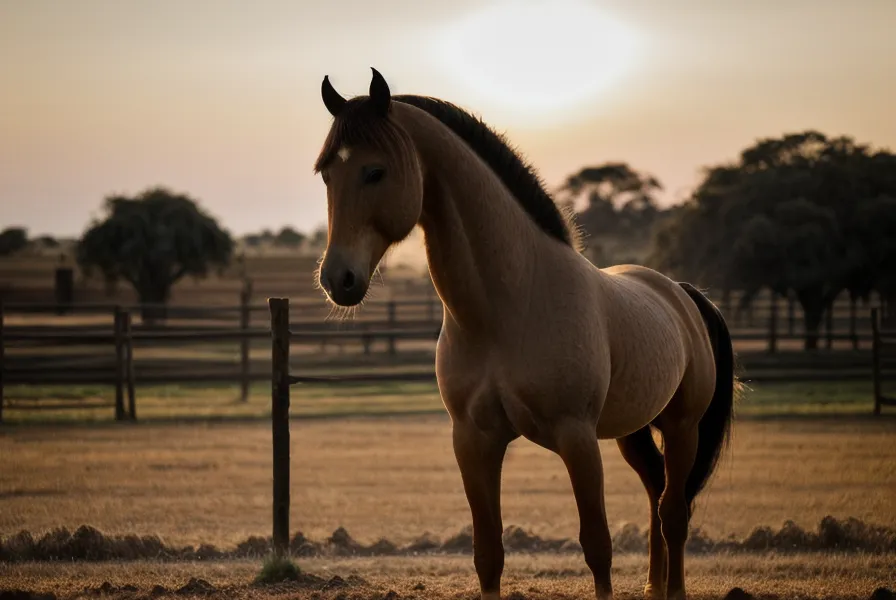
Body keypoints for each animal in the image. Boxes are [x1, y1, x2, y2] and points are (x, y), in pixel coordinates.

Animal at [311, 68, 736, 600]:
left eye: (374, 171)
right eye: (327, 174)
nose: (337, 280)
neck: (509, 307)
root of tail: (680, 294)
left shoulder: (577, 438)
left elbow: (597, 547)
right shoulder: (474, 440)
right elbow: (488, 554)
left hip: (682, 428)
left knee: (673, 513)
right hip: (635, 432)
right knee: (657, 495)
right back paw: (653, 589)